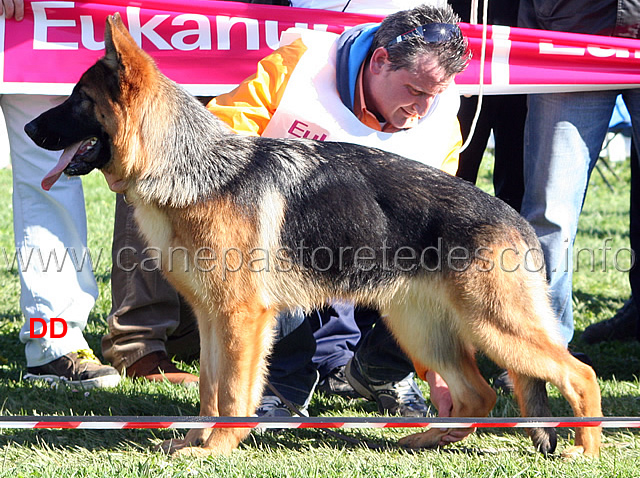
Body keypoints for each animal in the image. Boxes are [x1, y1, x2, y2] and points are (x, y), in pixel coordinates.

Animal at [25, 13, 604, 458]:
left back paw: (586, 449)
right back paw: (427, 438)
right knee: (478, 396)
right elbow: (211, 390)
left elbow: (232, 395)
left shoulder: (241, 319)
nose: (28, 130)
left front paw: (217, 448)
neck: (193, 166)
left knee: (580, 374)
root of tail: (515, 219)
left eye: (77, 100)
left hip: (495, 327)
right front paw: (195, 442)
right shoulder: (214, 318)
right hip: (424, 329)